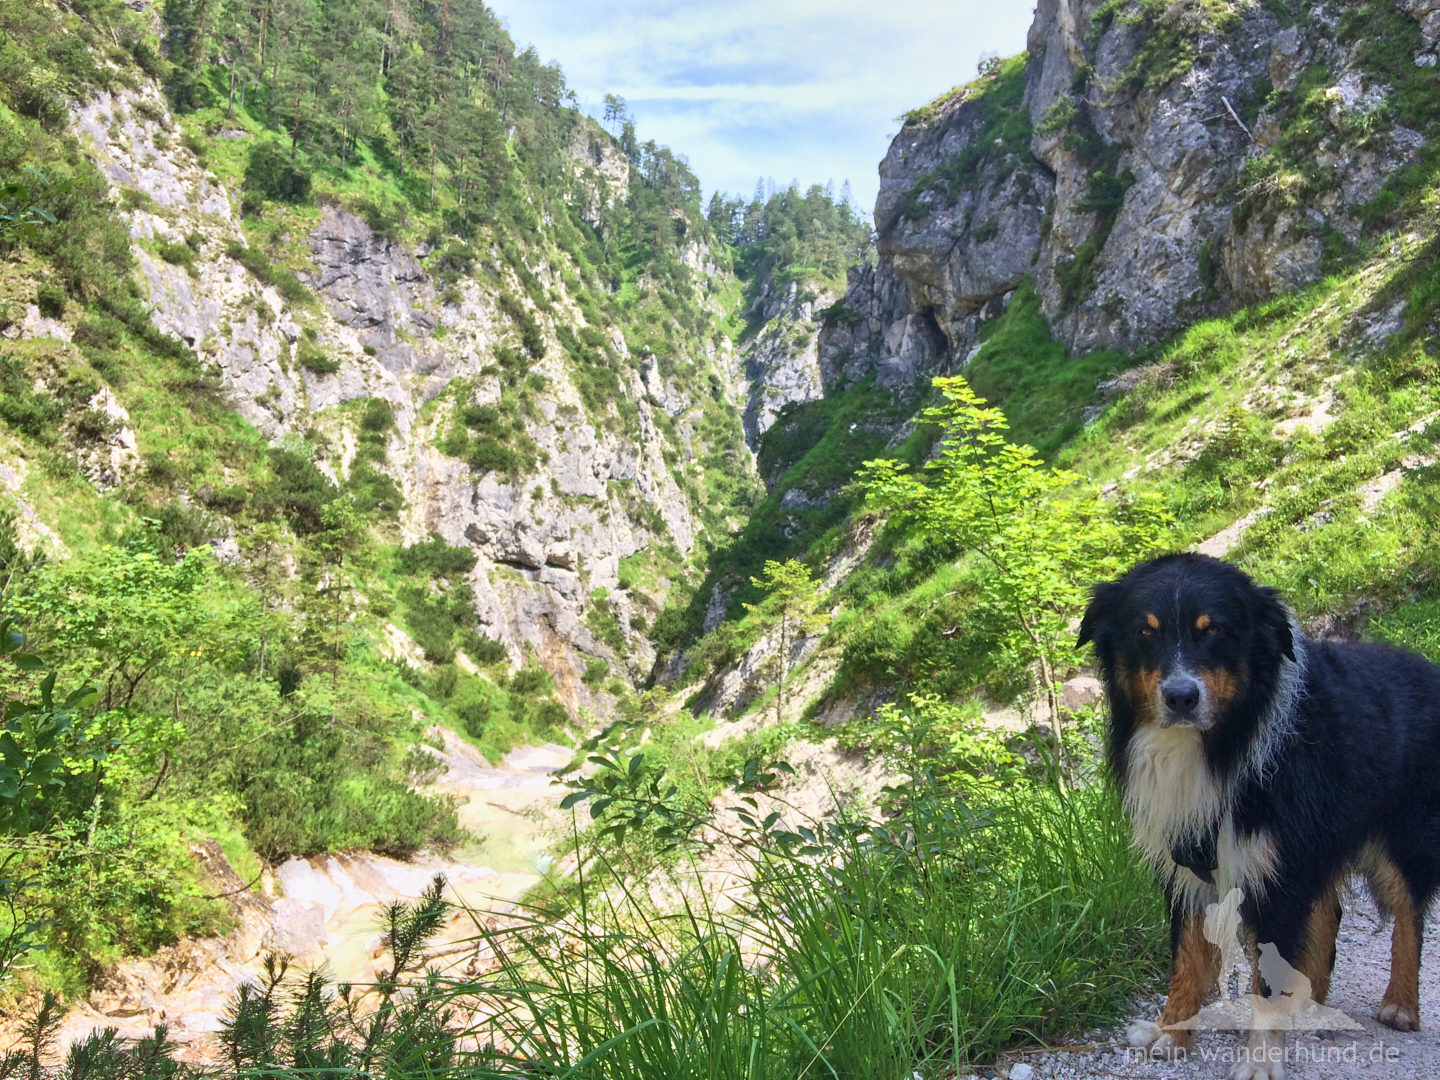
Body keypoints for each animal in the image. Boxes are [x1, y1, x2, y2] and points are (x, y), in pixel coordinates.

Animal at [1082, 558, 1440, 1080]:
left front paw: (1259, 1061)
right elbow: (1187, 956)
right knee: (1329, 911)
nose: (1181, 697)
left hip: (1402, 838)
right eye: (1145, 632)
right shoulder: (1189, 863)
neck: (1219, 745)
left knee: (1409, 917)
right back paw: (1310, 1003)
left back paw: (1400, 1005)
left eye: (1214, 631)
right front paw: (1172, 1033)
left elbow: (1265, 979)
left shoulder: (1276, 871)